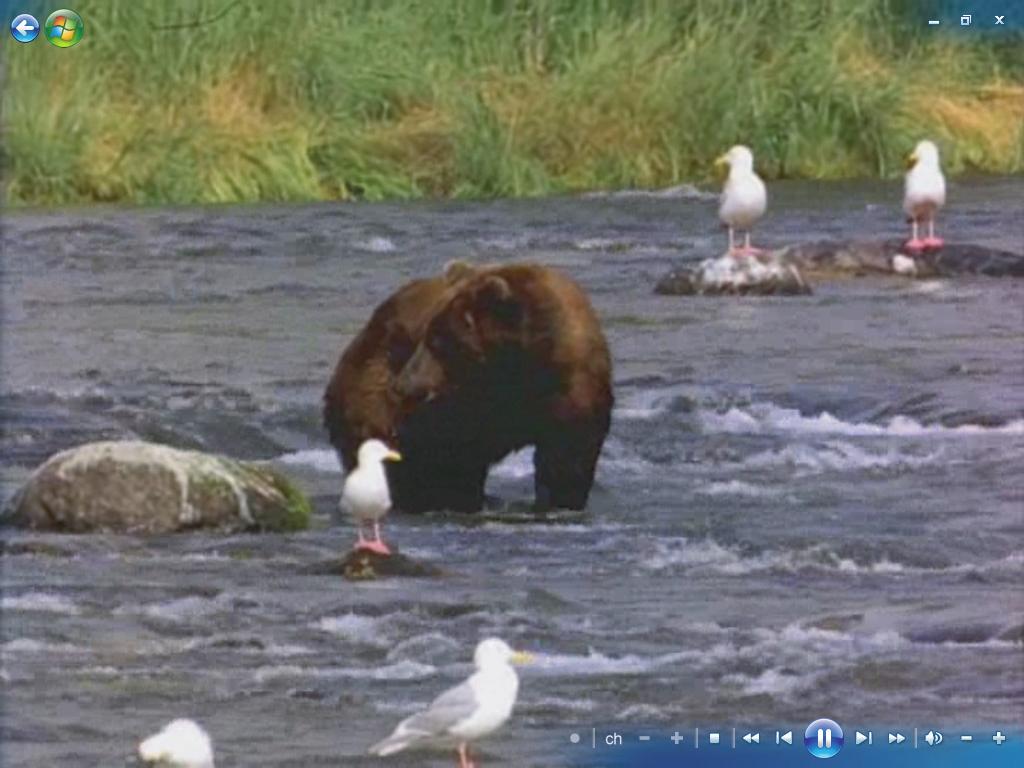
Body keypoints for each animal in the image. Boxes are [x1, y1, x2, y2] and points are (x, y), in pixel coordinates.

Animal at [321, 262, 606, 514]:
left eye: (438, 341)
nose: (404, 385)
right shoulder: (455, 412)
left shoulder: (571, 395)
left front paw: (559, 501)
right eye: (427, 334)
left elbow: (566, 461)